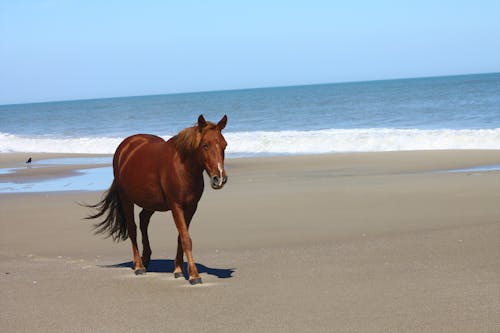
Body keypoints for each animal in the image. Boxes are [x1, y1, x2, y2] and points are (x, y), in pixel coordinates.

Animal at [84, 113, 229, 282]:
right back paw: (139, 266)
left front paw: (178, 269)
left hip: (151, 202)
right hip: (126, 199)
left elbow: (181, 237)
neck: (183, 168)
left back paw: (146, 260)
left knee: (143, 220)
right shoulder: (176, 207)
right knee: (132, 228)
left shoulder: (191, 207)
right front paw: (194, 275)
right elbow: (186, 239)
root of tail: (125, 146)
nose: (219, 178)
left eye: (224, 145)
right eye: (205, 145)